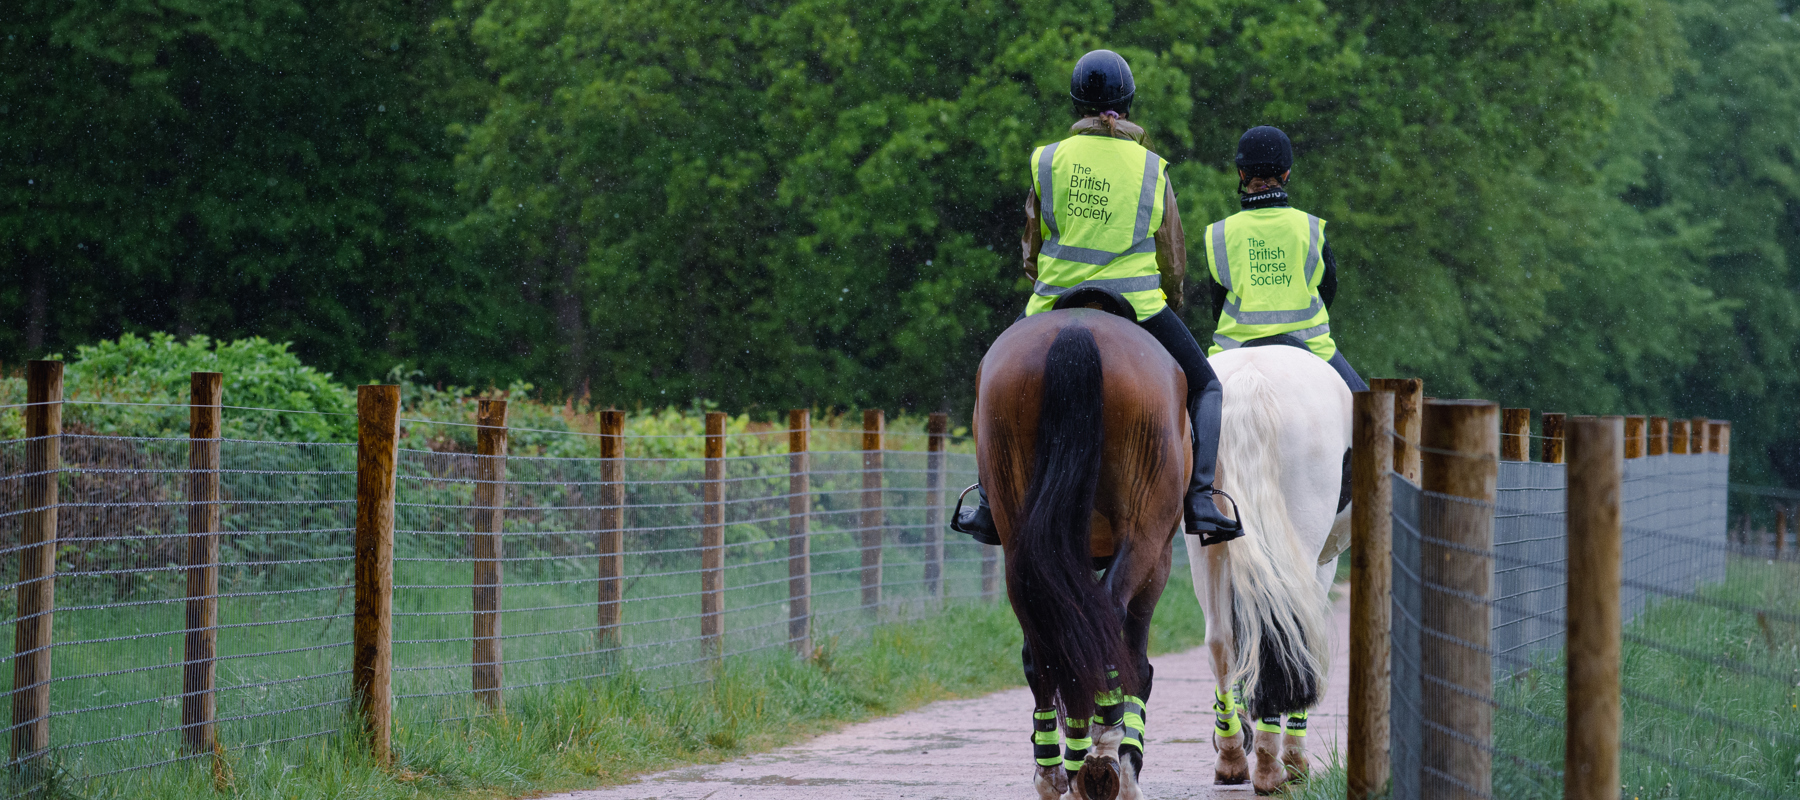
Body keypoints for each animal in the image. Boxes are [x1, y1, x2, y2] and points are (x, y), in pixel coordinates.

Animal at [974, 301, 1190, 800]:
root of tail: (1077, 328)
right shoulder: (1159, 562)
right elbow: (1136, 663)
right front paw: (1125, 759)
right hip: (1145, 533)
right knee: (1106, 616)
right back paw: (1104, 748)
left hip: (1017, 528)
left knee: (1045, 637)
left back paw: (1058, 766)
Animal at [1189, 342, 1351, 794]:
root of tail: (1251, 377)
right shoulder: (1322, 564)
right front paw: (1294, 757)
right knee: (1285, 632)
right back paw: (1272, 766)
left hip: (1204, 545)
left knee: (1221, 641)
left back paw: (1232, 757)